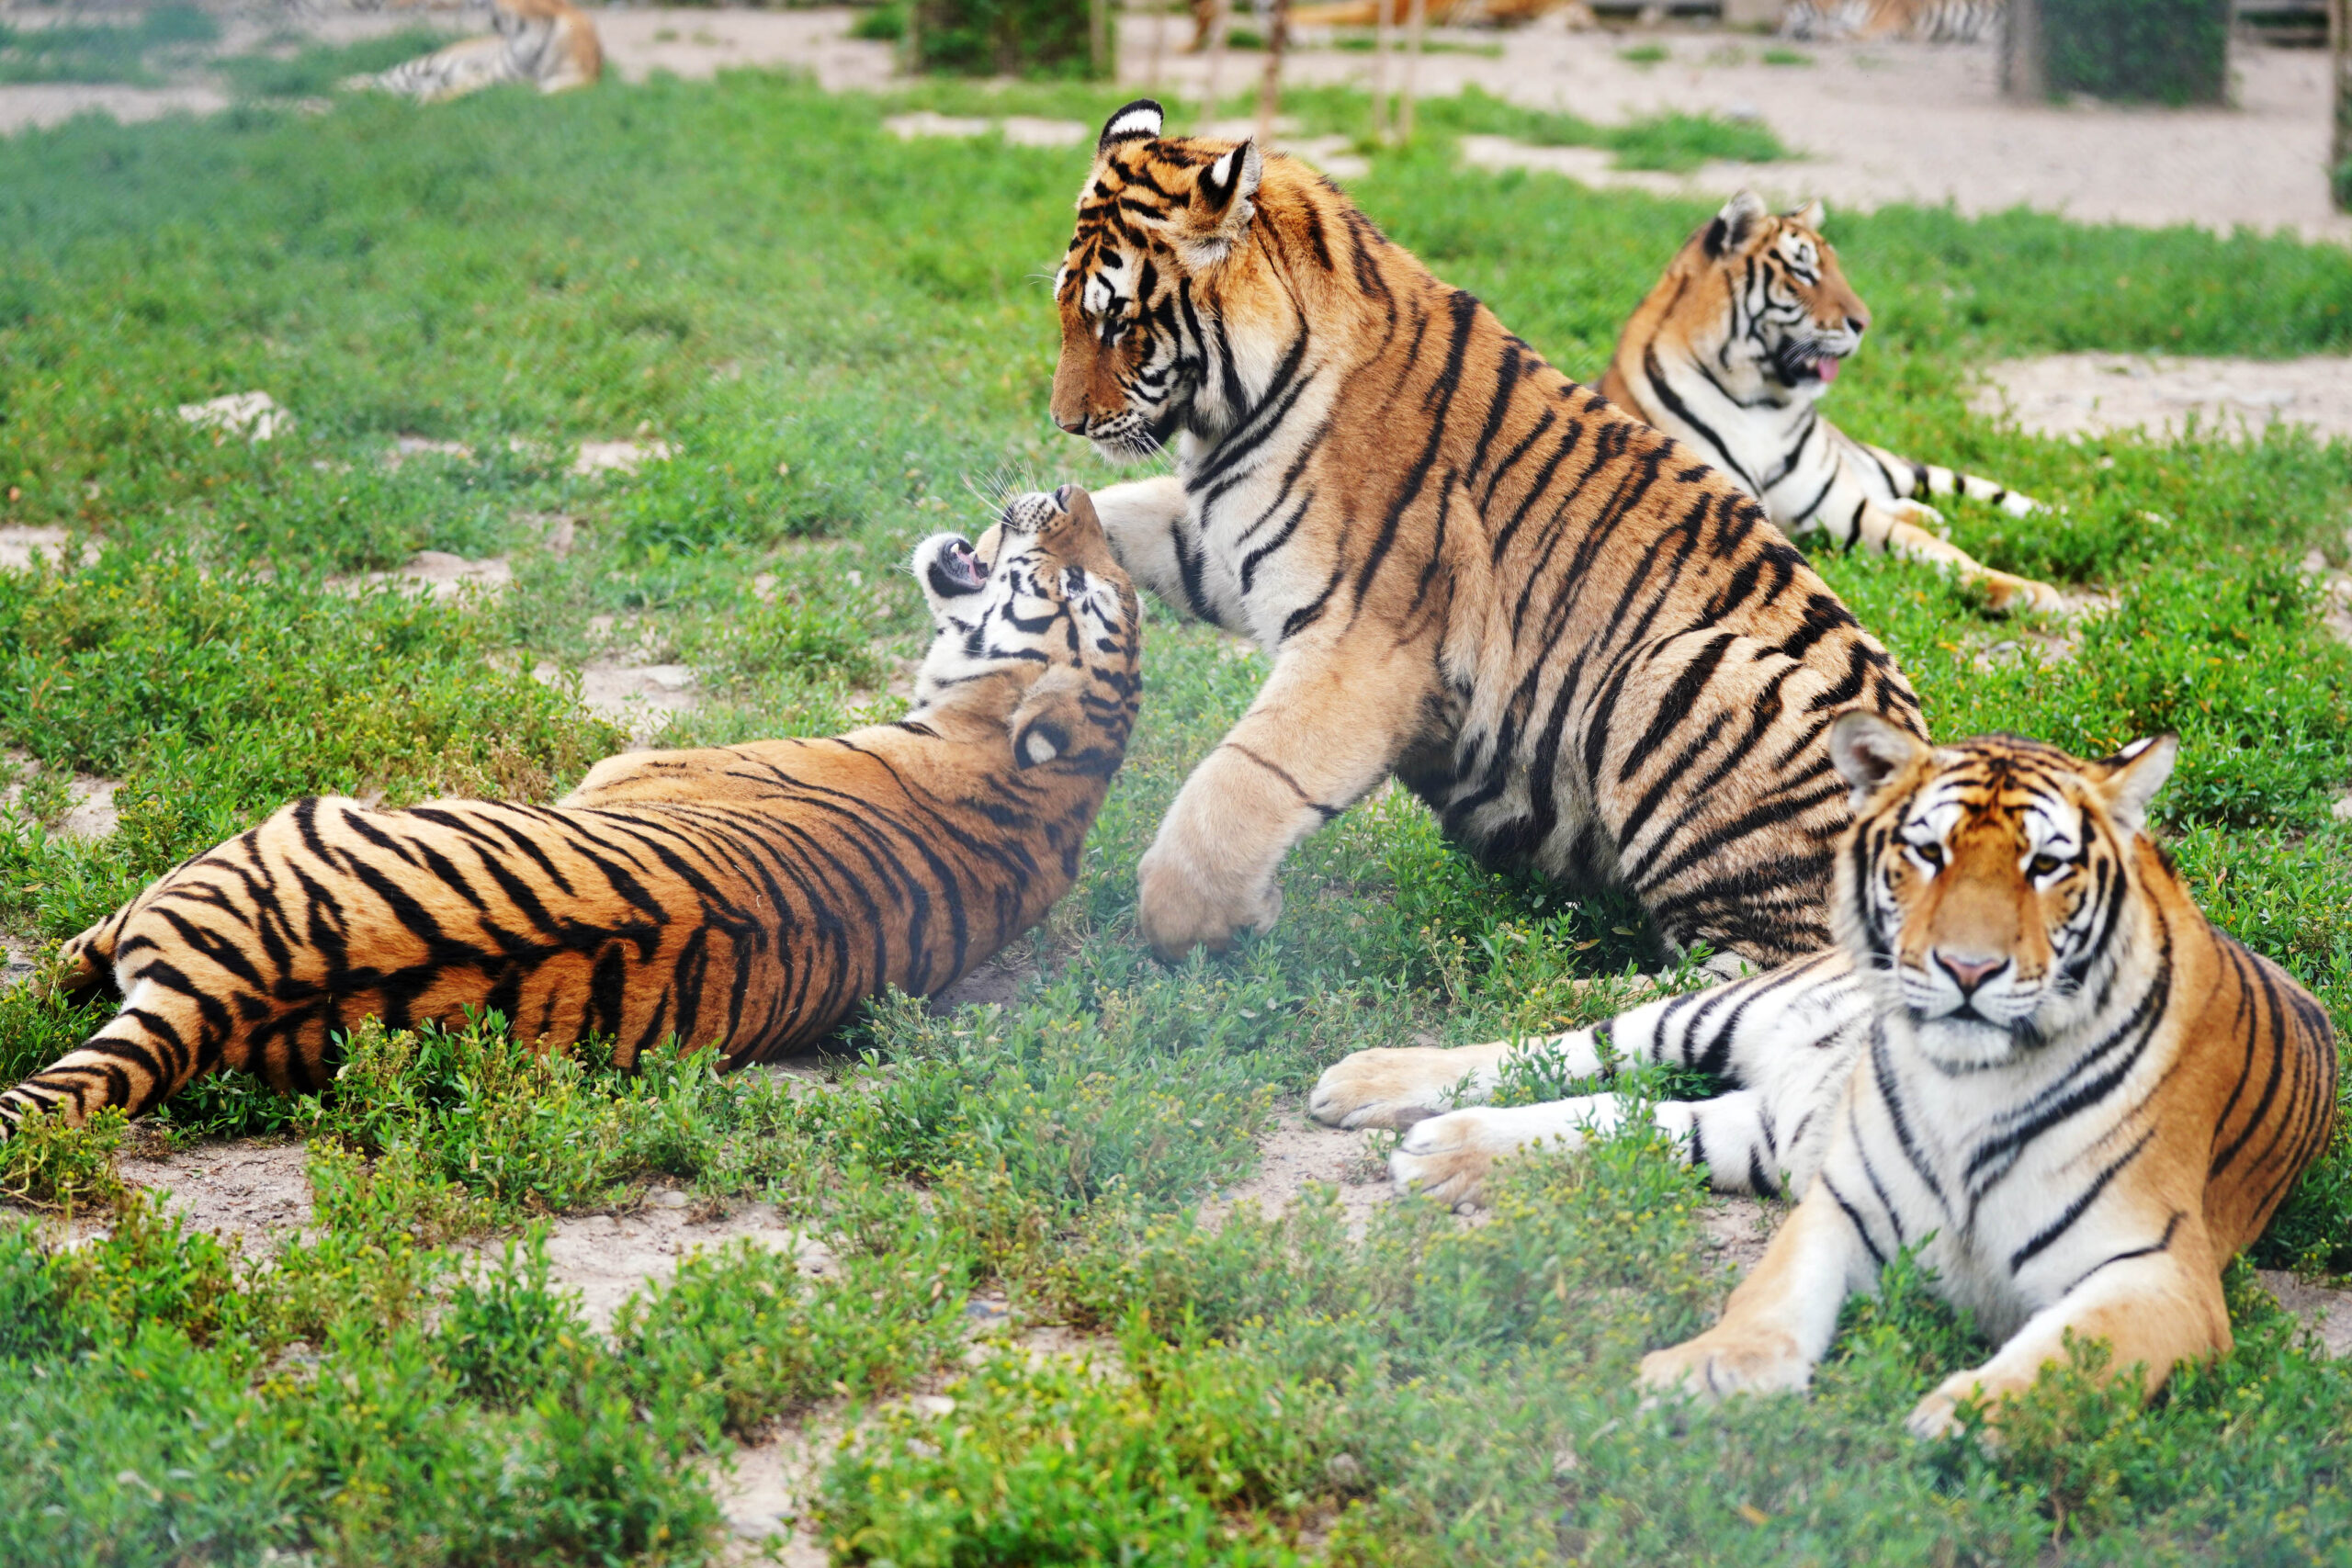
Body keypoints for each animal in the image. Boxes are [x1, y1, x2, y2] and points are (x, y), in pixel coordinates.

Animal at [0, 484, 1138, 1133]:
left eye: (1074, 584)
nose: (1071, 483)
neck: (1032, 791)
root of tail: (213, 999)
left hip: (250, 838)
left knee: (65, 960)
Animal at [353, 0, 606, 104]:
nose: (486, 5)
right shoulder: (490, 75)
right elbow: (461, 87)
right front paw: (430, 98)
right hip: (427, 63)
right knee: (380, 77)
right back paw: (350, 86)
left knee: (384, 86)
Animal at [1058, 97, 1918, 973]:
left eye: (1115, 320)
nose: (1067, 422)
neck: (1237, 411)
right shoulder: (1224, 547)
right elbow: (1112, 507)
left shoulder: (1365, 649)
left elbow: (1241, 783)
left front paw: (1206, 923)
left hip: (1682, 665)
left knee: (1775, 970)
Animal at [1307, 719, 2333, 1438]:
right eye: (1927, 851)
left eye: (2047, 865)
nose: (1966, 969)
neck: (1969, 1081)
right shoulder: (1846, 1201)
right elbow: (1768, 1297)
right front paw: (1710, 1372)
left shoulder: (2164, 1274)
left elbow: (2075, 1353)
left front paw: (1968, 1418)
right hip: (1707, 1014)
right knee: (1561, 1049)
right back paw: (1369, 1083)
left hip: (1740, 1130)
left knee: (1608, 1118)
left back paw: (1441, 1152)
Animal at [1589, 192, 2069, 615]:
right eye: (1803, 272)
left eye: (1836, 267)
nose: (1864, 322)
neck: (1759, 403)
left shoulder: (1839, 510)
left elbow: (1940, 551)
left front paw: (2025, 591)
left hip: (1883, 465)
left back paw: (2066, 518)